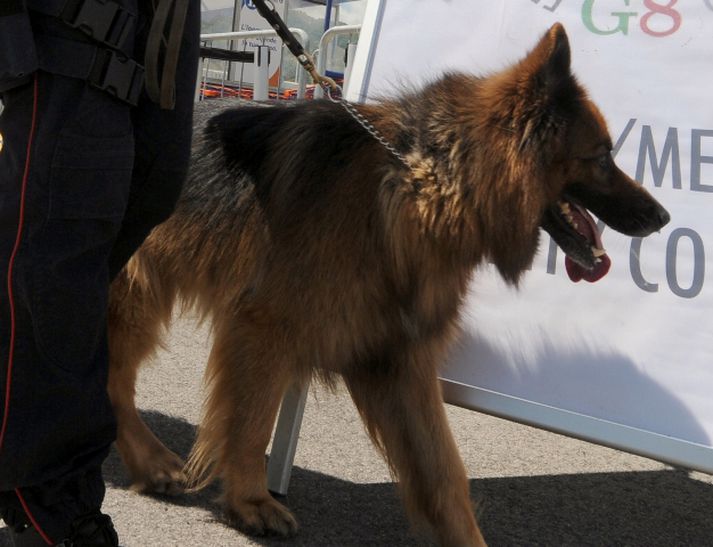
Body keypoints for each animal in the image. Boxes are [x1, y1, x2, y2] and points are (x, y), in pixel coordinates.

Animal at [107, 23, 668, 544]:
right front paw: (251, 500)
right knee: (114, 381)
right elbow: (251, 420)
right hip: (129, 295)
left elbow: (445, 474)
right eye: (602, 156)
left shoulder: (400, 355)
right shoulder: (266, 329)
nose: (661, 218)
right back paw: (151, 459)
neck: (423, 183)